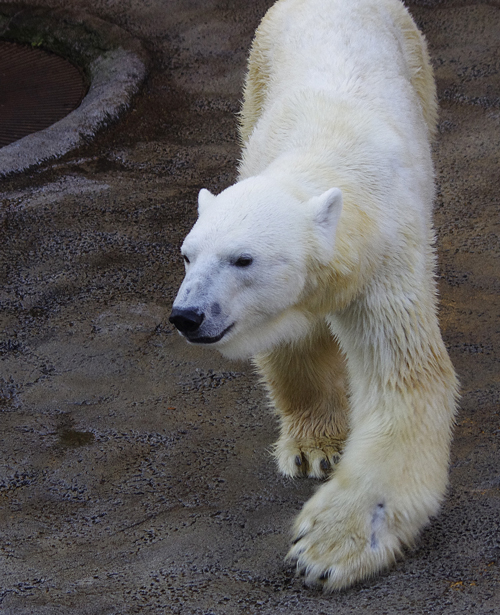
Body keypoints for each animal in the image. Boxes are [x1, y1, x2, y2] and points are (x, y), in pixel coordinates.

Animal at [170, 0, 458, 592]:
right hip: (257, 71)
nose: (187, 315)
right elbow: (294, 343)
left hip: (415, 62)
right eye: (187, 255)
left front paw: (327, 547)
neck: (328, 154)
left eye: (242, 259)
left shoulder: (387, 253)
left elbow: (403, 381)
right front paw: (313, 448)